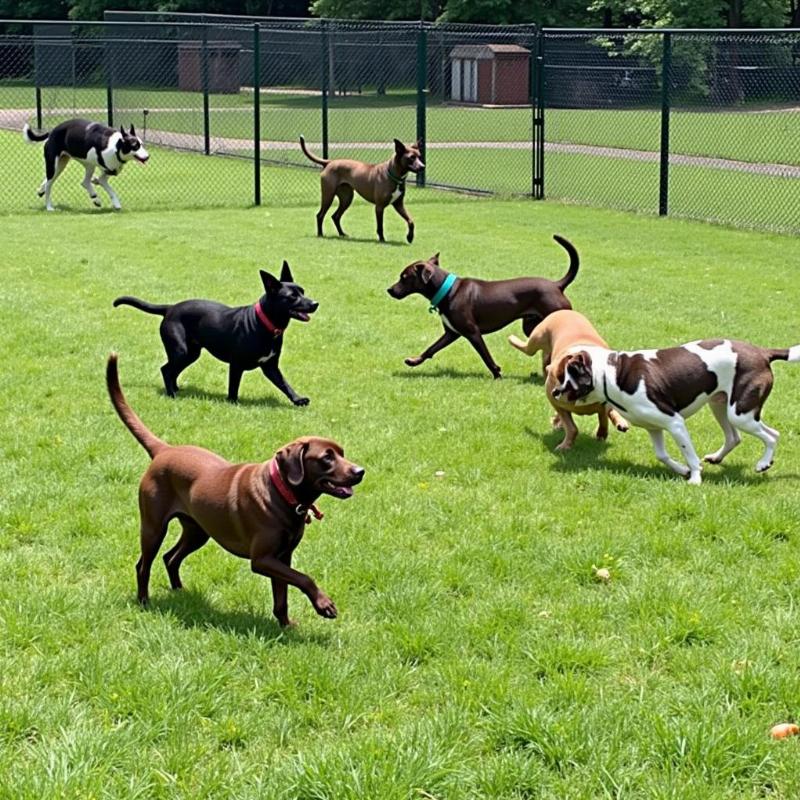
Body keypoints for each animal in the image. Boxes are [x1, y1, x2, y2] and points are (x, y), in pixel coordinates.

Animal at [106, 354, 366, 624]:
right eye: (327, 457)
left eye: (342, 453)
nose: (360, 472)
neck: (282, 494)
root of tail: (164, 450)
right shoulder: (261, 559)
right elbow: (304, 578)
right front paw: (324, 604)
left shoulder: (282, 556)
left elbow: (281, 596)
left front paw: (285, 625)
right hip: (154, 527)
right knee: (143, 565)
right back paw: (144, 601)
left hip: (197, 530)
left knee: (170, 557)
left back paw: (180, 591)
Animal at [510, 310, 628, 450]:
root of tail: (564, 311)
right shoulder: (557, 403)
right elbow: (571, 427)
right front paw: (566, 444)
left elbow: (603, 416)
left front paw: (601, 433)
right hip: (535, 340)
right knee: (527, 347)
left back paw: (620, 422)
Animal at [552, 336, 800, 482]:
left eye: (567, 375)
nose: (554, 392)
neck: (610, 374)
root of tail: (763, 352)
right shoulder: (654, 427)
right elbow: (662, 455)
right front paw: (682, 470)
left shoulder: (674, 422)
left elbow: (689, 454)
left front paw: (694, 478)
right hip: (720, 405)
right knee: (734, 437)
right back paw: (717, 458)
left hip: (740, 413)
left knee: (772, 435)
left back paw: (763, 463)